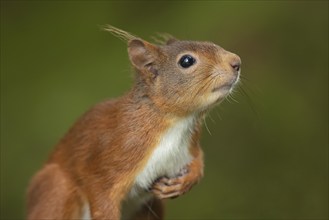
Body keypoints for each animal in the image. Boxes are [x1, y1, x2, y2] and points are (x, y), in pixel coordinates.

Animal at [26, 25, 240, 220]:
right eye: (186, 61)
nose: (236, 62)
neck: (177, 122)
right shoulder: (110, 158)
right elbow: (101, 196)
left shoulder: (190, 143)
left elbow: (198, 159)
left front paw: (186, 181)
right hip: (56, 190)